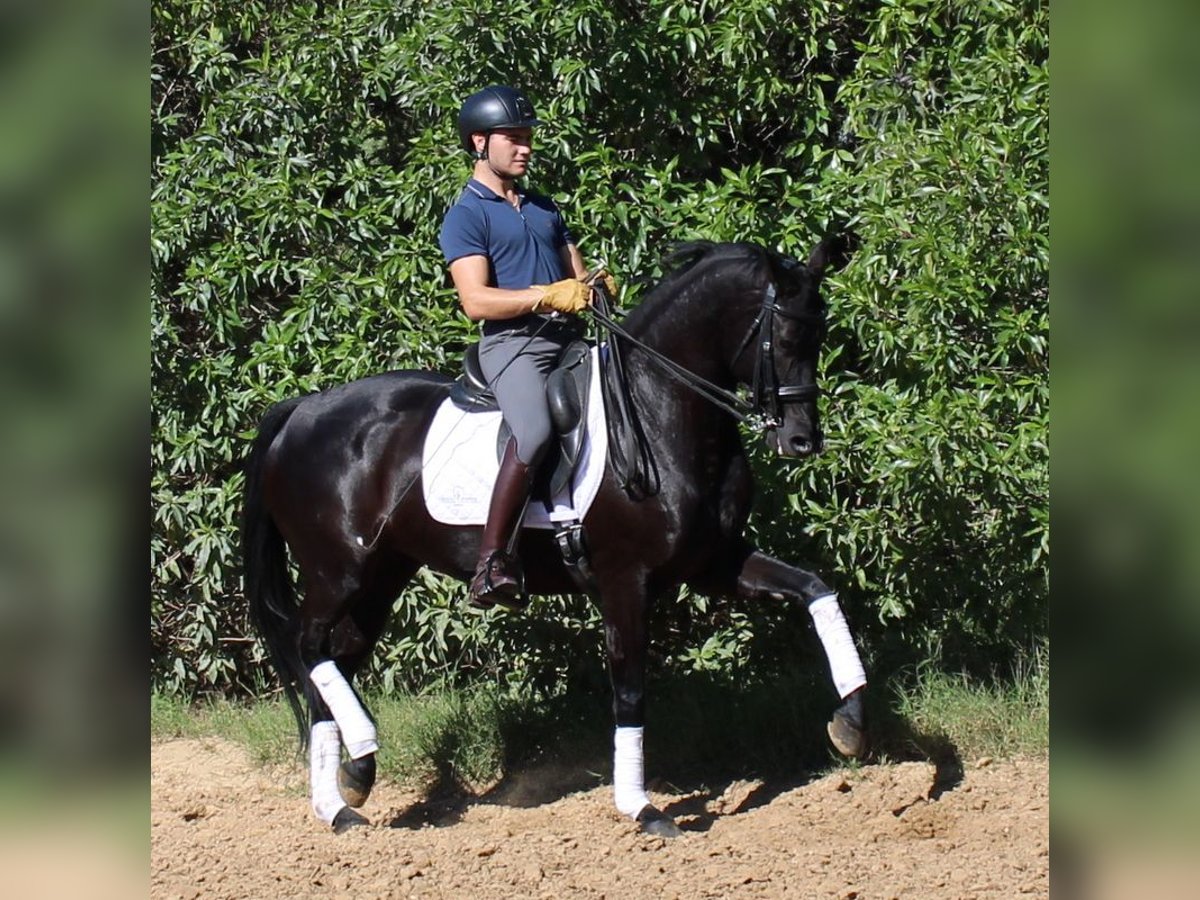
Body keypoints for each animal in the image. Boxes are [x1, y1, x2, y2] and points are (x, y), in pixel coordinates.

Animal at [243, 240, 868, 840]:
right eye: (782, 336)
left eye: (820, 334)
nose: (802, 440)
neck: (658, 408)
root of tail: (300, 409)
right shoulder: (625, 580)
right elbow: (630, 690)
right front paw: (642, 808)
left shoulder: (713, 562)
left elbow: (815, 589)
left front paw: (851, 722)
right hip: (338, 570)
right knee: (308, 646)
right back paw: (351, 776)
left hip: (382, 575)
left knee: (334, 661)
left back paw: (348, 789)